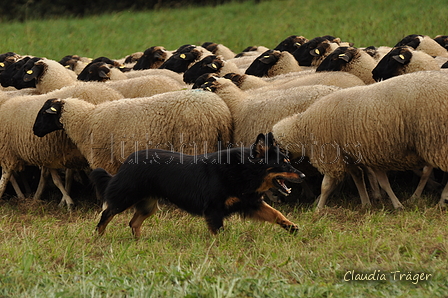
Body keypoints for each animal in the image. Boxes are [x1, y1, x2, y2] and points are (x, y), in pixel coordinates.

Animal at [33, 89, 233, 176]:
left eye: (44, 112)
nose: (34, 130)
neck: (85, 121)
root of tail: (219, 112)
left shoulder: (105, 159)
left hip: (195, 143)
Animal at [90, 133, 304, 237]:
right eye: (284, 163)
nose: (302, 175)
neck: (243, 170)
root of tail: (127, 161)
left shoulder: (250, 203)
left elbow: (276, 213)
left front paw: (291, 227)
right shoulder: (214, 209)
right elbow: (219, 232)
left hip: (148, 205)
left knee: (133, 222)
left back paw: (138, 242)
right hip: (125, 198)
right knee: (106, 214)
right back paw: (98, 237)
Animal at [272, 70, 448, 210]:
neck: (304, 127)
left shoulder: (330, 153)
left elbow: (325, 186)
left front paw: (318, 209)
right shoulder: (353, 156)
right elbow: (366, 179)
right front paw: (369, 203)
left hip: (438, 140)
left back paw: (441, 199)